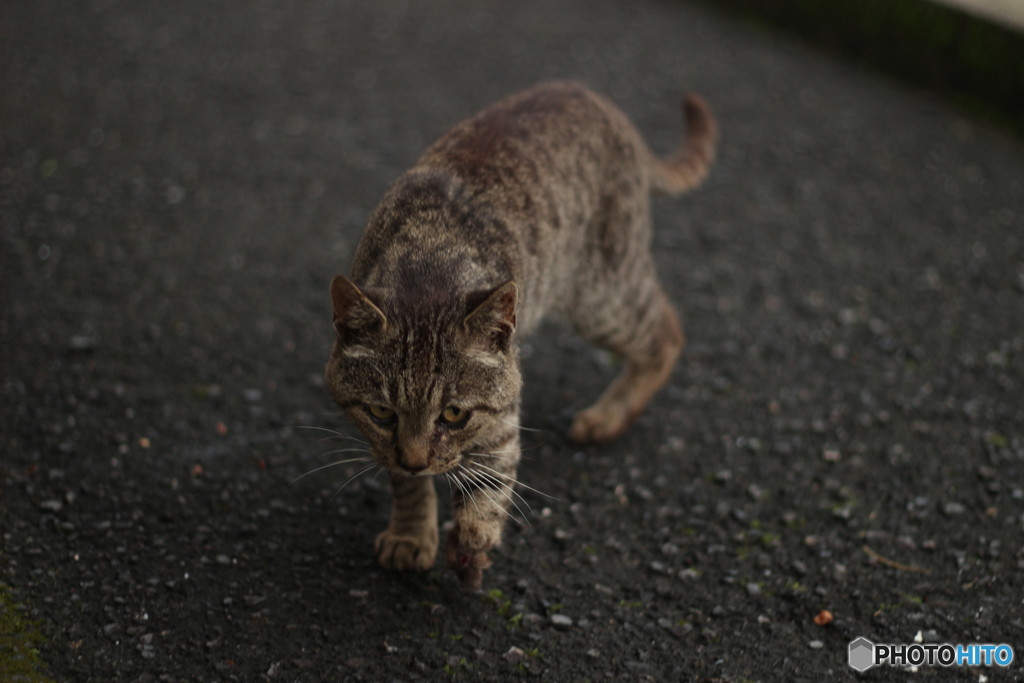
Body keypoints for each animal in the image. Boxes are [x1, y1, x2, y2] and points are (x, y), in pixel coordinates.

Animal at [323, 80, 716, 589]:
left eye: (454, 414)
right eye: (380, 413)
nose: (415, 460)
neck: (429, 258)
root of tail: (600, 102)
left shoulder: (503, 413)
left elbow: (491, 479)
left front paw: (473, 537)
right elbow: (404, 484)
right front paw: (411, 533)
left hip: (602, 295)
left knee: (666, 330)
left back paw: (607, 418)